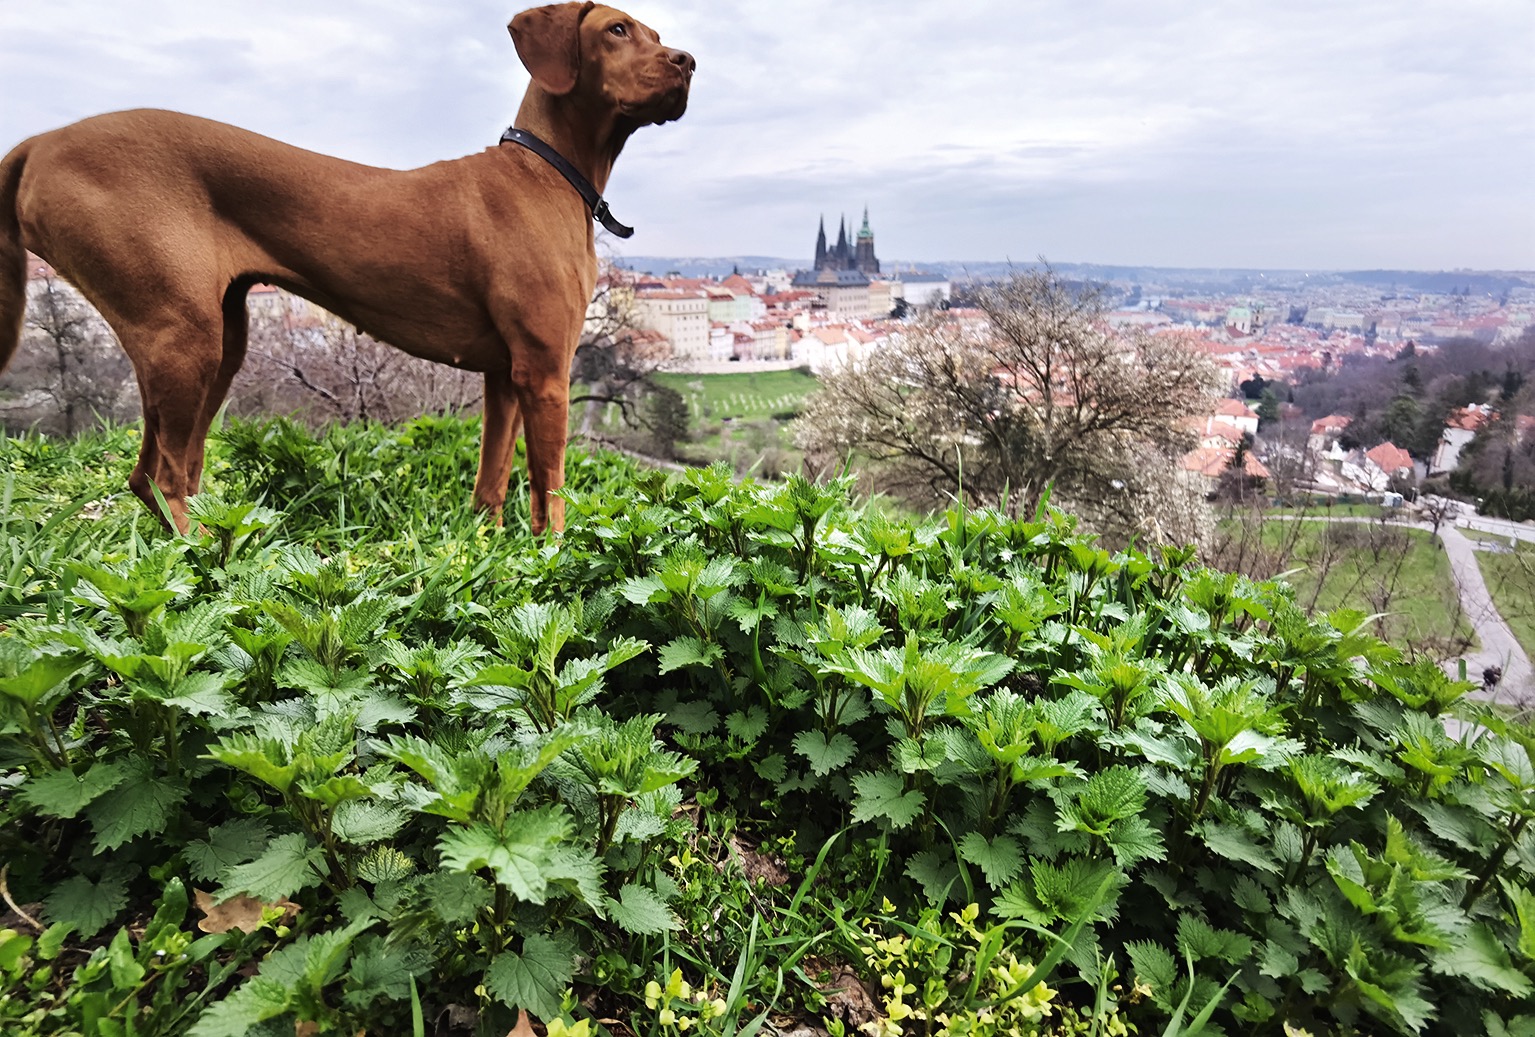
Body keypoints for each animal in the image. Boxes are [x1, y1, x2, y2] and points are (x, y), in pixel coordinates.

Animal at [0, 2, 690, 533]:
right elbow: (551, 493)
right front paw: (553, 560)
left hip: (219, 340)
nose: (688, 62)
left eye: (655, 33)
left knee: (163, 470)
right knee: (164, 473)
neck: (547, 172)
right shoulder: (546, 371)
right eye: (617, 30)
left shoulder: (506, 373)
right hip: (182, 334)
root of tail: (38, 143)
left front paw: (492, 553)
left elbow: (492, 481)